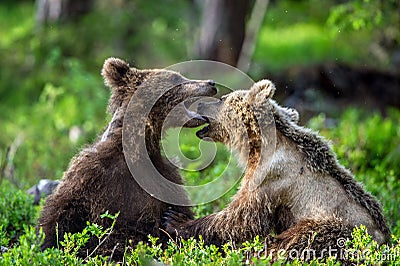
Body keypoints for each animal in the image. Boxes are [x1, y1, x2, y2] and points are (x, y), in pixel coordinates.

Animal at [37, 57, 217, 258]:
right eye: (175, 78)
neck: (136, 149)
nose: (211, 83)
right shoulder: (90, 175)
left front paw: (176, 220)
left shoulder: (165, 178)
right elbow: (60, 216)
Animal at [163, 79, 390, 256]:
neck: (258, 147)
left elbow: (240, 217)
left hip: (342, 228)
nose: (201, 104)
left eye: (222, 98)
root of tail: (385, 243)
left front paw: (175, 222)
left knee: (303, 237)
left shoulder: (271, 177)